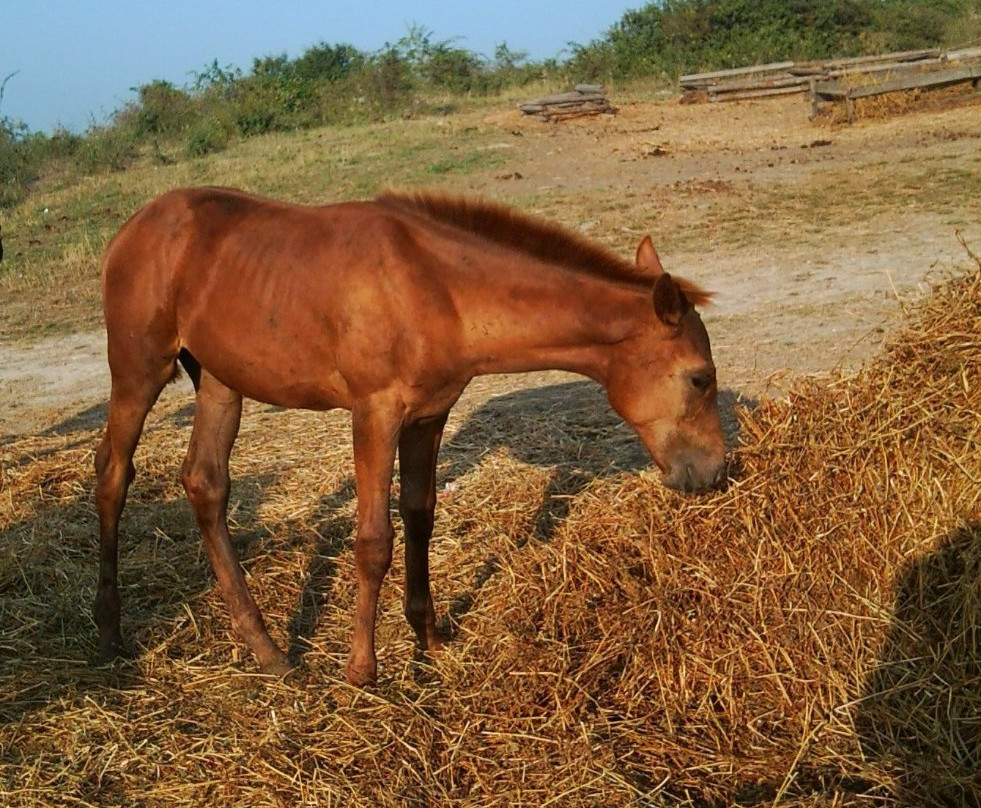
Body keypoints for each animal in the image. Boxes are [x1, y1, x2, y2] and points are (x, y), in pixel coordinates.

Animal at [95, 187, 725, 686]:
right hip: (138, 370)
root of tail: (131, 227)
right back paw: (109, 629)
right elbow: (375, 540)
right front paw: (362, 673)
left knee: (206, 484)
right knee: (113, 474)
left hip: (220, 381)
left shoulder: (429, 414)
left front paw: (430, 640)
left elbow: (420, 516)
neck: (438, 289)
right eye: (700, 377)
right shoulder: (375, 412)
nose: (714, 472)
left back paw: (267, 650)